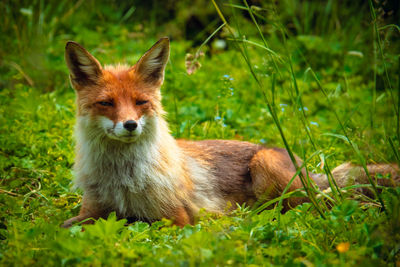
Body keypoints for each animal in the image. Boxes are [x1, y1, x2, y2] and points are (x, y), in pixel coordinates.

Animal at [61, 36, 396, 227]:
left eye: (140, 102)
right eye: (106, 103)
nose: (130, 125)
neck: (123, 178)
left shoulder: (177, 218)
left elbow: (135, 221)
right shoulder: (92, 209)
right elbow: (66, 224)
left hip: (267, 167)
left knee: (322, 206)